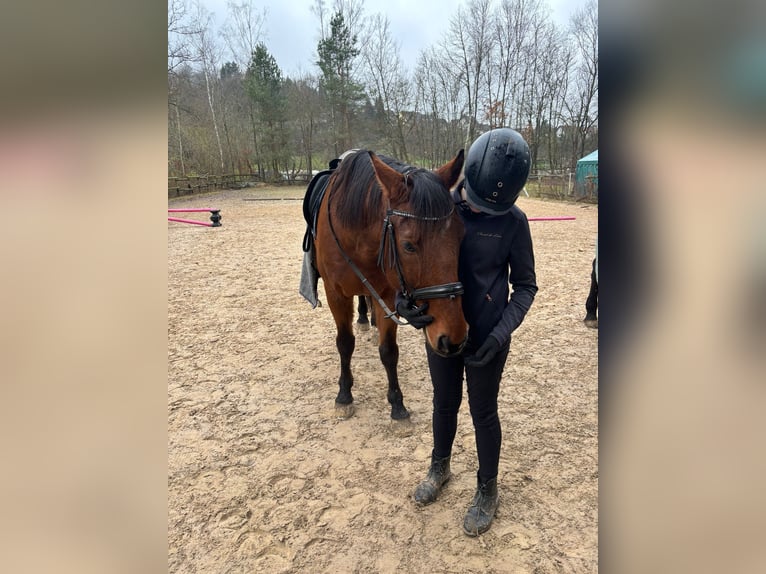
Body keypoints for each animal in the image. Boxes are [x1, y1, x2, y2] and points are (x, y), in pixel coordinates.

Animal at [314, 152, 468, 424]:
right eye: (408, 245)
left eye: (461, 236)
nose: (454, 339)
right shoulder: (335, 294)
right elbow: (345, 343)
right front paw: (344, 395)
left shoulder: (385, 293)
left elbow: (388, 351)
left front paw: (397, 404)